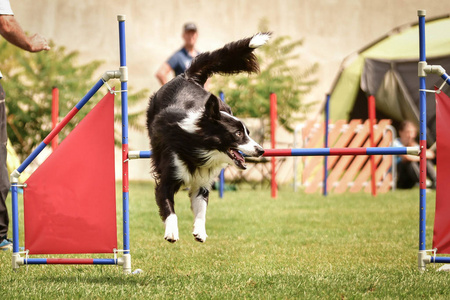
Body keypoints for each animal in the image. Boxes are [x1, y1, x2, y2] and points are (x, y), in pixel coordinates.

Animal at [146, 32, 268, 244]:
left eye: (248, 132)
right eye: (238, 133)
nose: (261, 150)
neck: (198, 146)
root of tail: (186, 76)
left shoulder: (202, 181)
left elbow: (201, 207)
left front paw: (200, 231)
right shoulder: (167, 178)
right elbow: (169, 207)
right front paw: (172, 232)